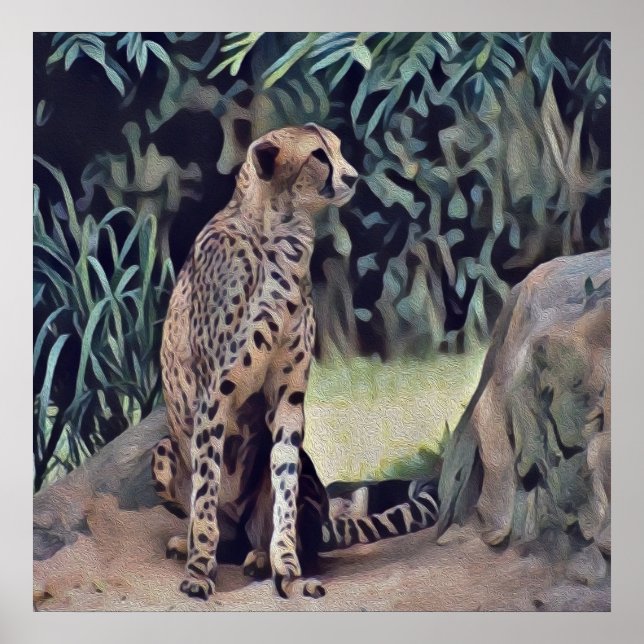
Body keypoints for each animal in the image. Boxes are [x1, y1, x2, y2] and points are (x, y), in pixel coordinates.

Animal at [152, 124, 439, 601]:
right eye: (319, 155)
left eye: (338, 149)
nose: (353, 176)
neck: (278, 235)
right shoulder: (213, 396)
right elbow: (205, 492)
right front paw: (197, 572)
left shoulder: (288, 400)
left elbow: (282, 482)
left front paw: (286, 568)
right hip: (162, 452)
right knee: (209, 519)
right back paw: (194, 545)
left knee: (290, 531)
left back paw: (260, 557)